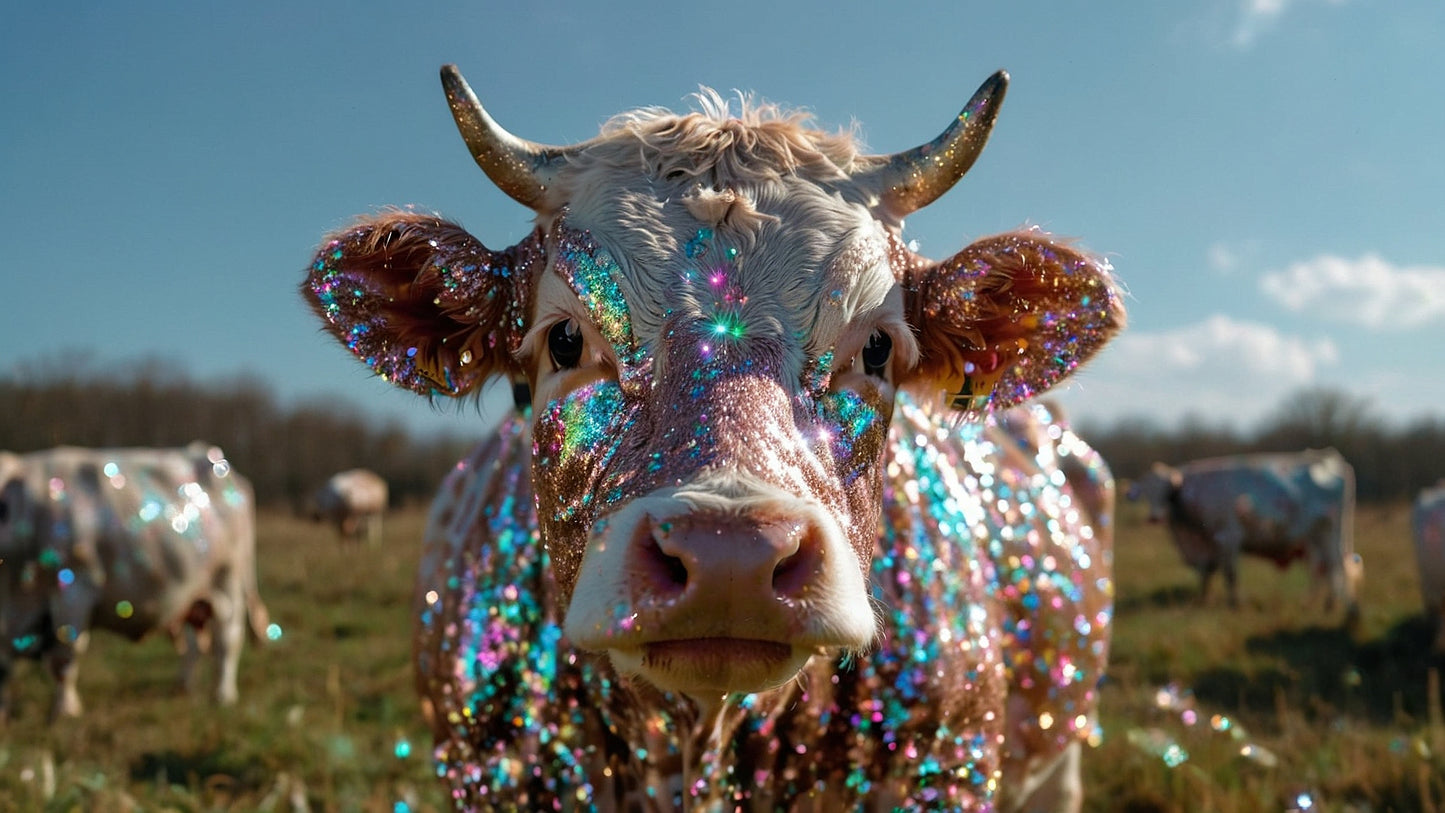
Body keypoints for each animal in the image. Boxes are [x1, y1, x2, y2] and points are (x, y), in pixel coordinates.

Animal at [0, 443, 270, 720]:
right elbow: (5, 666)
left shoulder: (73, 589)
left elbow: (63, 657)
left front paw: (65, 711)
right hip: (193, 594)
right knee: (194, 645)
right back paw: (183, 687)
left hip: (227, 580)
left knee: (226, 640)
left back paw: (223, 696)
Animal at [1125, 449, 1361, 621]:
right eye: (1147, 492)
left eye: (1167, 491)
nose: (1154, 517)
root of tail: (1329, 457)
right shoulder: (1209, 545)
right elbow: (1207, 573)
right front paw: (1204, 600)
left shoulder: (1228, 536)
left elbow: (1230, 574)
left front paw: (1234, 604)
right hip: (1316, 537)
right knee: (1324, 568)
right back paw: (1318, 604)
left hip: (1329, 531)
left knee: (1335, 565)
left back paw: (1336, 607)